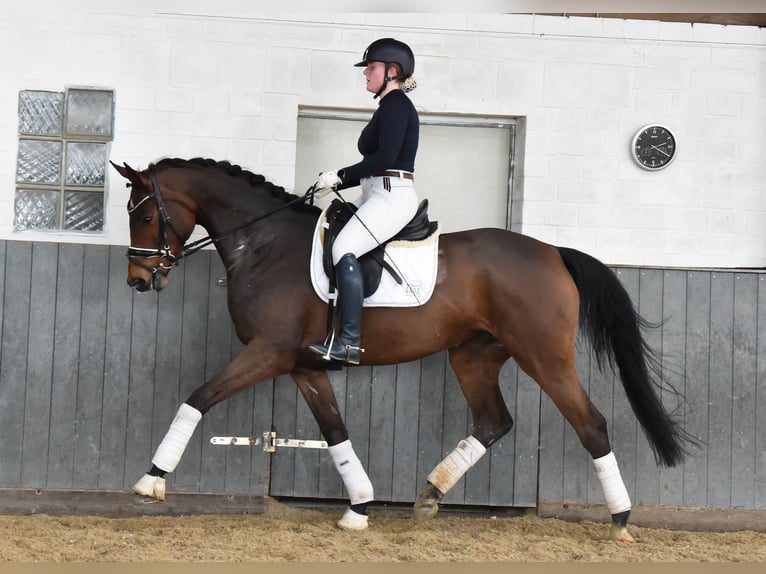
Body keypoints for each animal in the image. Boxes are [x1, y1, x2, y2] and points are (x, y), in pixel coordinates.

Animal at [112, 159, 696, 544]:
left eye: (144, 215)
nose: (138, 280)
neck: (266, 245)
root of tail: (552, 251)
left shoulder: (268, 353)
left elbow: (198, 398)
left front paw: (150, 480)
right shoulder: (305, 366)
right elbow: (336, 434)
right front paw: (359, 508)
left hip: (544, 357)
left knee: (589, 423)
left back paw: (621, 521)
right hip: (474, 355)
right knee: (493, 422)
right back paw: (430, 496)